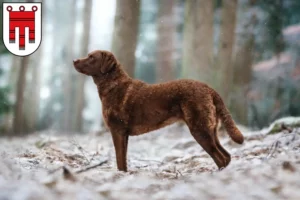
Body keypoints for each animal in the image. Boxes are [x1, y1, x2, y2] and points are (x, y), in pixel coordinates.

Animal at [72, 50, 244, 172]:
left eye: (91, 57)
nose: (74, 60)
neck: (112, 85)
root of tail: (209, 88)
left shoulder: (117, 130)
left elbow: (120, 160)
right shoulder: (124, 134)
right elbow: (124, 160)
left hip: (199, 129)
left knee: (220, 158)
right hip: (211, 129)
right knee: (226, 156)